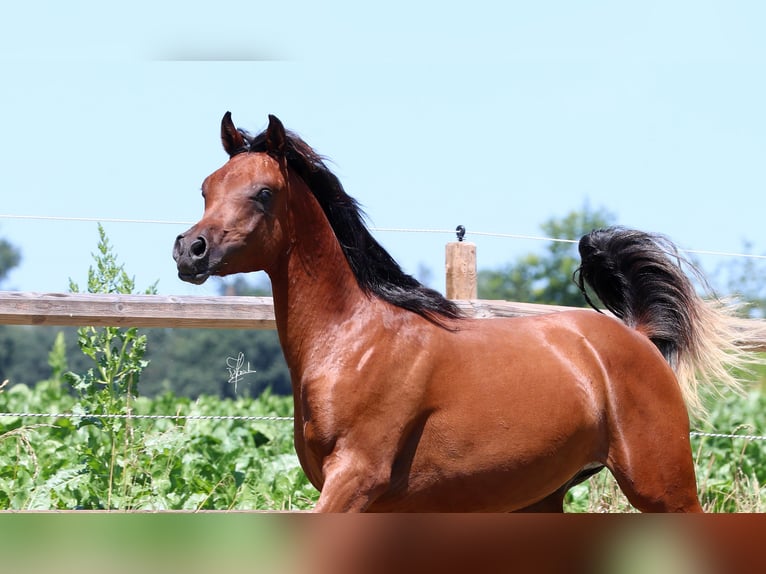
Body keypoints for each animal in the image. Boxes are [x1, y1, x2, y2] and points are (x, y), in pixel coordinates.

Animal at [174, 112, 756, 512]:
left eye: (263, 193)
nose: (189, 251)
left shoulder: (355, 480)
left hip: (663, 486)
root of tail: (634, 337)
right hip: (540, 497)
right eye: (206, 187)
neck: (352, 343)